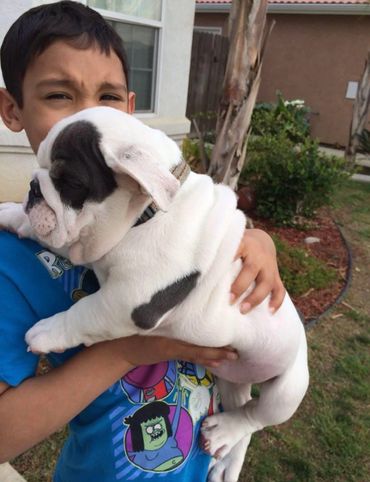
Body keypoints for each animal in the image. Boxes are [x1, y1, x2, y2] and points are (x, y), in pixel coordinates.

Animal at [0, 106, 310, 482]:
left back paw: (224, 431)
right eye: (40, 169)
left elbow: (85, 312)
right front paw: (12, 215)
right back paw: (227, 459)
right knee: (245, 416)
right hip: (230, 377)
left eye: (69, 182)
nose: (32, 188)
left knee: (258, 416)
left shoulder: (130, 301)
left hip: (289, 387)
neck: (144, 214)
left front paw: (48, 332)